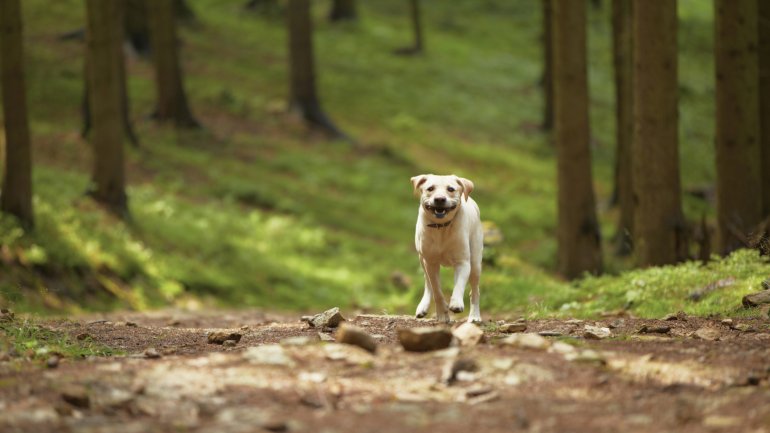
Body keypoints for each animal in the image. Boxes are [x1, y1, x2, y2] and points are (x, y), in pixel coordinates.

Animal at [408, 175, 480, 320]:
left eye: (451, 189)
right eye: (430, 188)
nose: (440, 199)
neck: (441, 227)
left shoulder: (463, 262)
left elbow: (459, 285)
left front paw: (456, 303)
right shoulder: (430, 262)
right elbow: (436, 290)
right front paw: (442, 313)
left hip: (475, 262)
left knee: (475, 290)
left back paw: (475, 316)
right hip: (422, 260)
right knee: (428, 283)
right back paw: (423, 306)